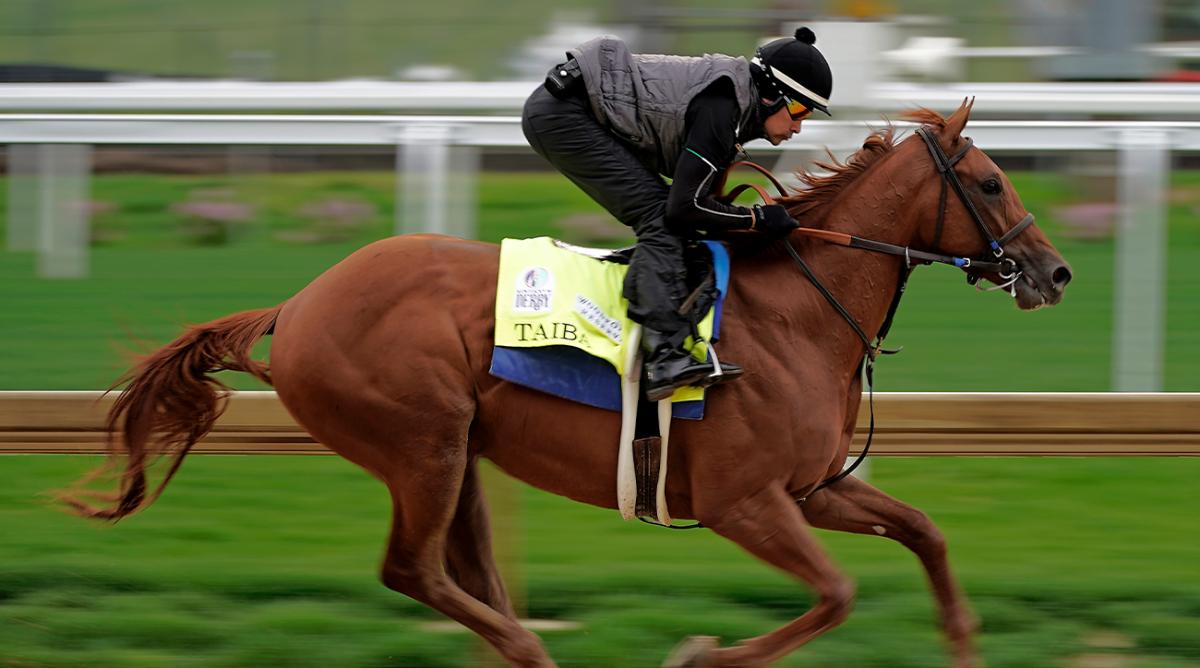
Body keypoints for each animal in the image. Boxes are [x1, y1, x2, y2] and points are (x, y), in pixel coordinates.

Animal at [65, 100, 1075, 666]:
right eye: (990, 182)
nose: (1054, 272)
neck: (799, 312)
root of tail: (301, 300)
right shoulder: (747, 502)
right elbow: (835, 595)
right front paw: (699, 653)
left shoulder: (810, 487)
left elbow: (926, 533)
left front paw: (963, 641)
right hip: (421, 442)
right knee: (413, 570)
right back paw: (526, 651)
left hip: (458, 453)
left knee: (462, 574)